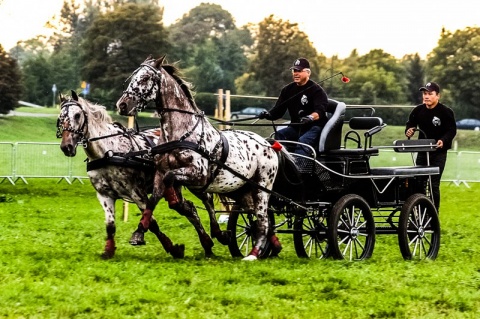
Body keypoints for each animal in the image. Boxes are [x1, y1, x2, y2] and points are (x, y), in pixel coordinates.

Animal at [55, 90, 184, 260]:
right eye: (60, 117)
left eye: (77, 115)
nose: (66, 146)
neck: (108, 152)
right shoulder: (105, 195)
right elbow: (110, 226)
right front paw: (108, 251)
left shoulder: (137, 193)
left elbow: (151, 222)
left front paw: (172, 248)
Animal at [115, 56, 282, 262]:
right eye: (133, 76)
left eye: (146, 78)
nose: (122, 105)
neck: (181, 134)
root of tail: (269, 144)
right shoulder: (160, 172)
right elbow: (153, 200)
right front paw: (139, 233)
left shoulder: (198, 174)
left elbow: (171, 180)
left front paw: (174, 200)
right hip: (240, 189)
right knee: (253, 214)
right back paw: (269, 245)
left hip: (262, 187)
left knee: (263, 219)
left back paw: (253, 253)